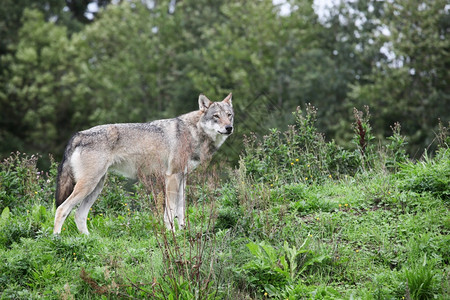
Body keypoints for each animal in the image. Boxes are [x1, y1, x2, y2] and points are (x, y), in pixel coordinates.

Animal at [54, 94, 234, 234]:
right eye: (216, 116)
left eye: (229, 115)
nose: (229, 128)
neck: (193, 132)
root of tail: (79, 134)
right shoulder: (172, 177)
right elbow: (170, 212)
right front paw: (173, 234)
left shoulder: (182, 178)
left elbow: (181, 210)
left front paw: (184, 233)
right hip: (88, 185)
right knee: (61, 209)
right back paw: (57, 241)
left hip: (96, 187)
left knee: (79, 215)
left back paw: (89, 241)